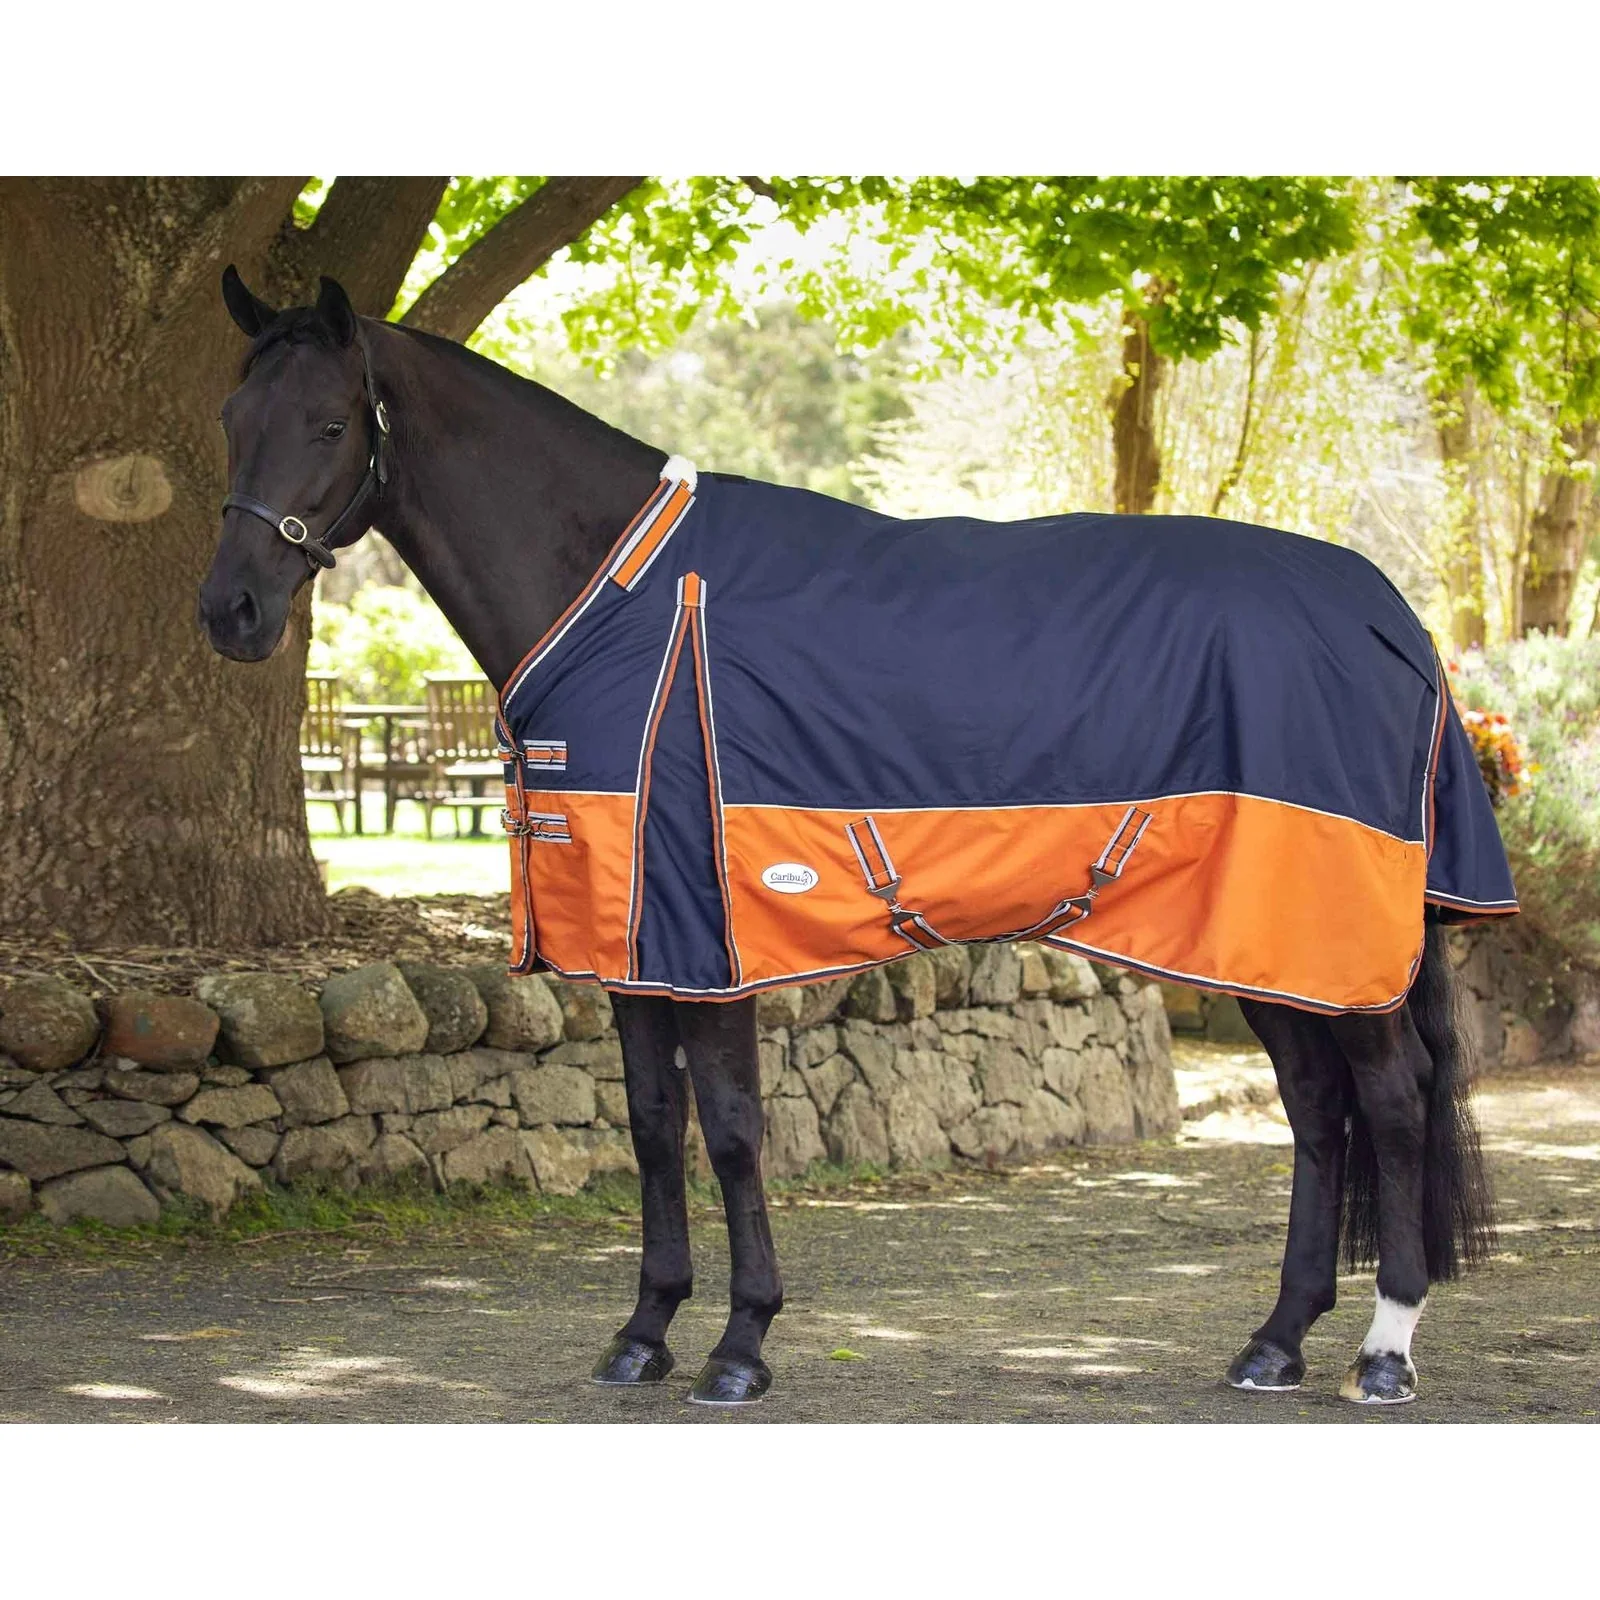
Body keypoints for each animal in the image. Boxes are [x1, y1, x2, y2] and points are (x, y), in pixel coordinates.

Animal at [199, 270, 1503, 1408]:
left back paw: (1383, 1351)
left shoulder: (705, 943)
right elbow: (650, 1127)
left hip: (1333, 939)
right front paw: (642, 1334)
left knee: (1390, 1101)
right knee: (1317, 1110)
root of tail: (1386, 614)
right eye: (230, 418)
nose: (231, 611)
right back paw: (1274, 1341)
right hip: (1263, 946)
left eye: (327, 422)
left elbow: (731, 1133)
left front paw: (739, 1347)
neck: (625, 598)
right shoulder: (628, 950)